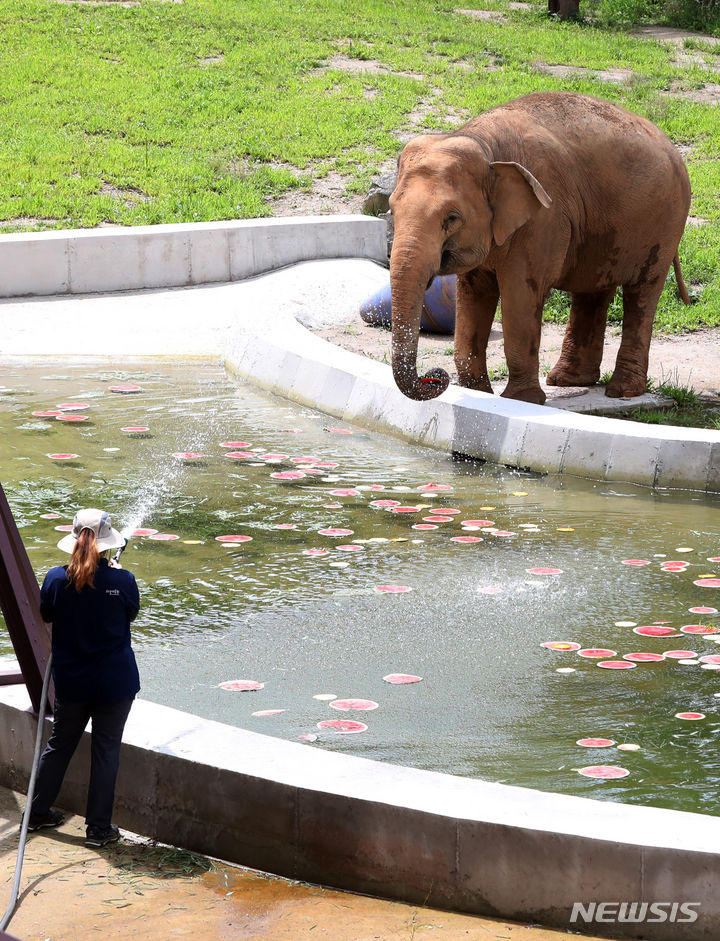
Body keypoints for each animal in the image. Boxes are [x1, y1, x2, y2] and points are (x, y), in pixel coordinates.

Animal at [388, 89, 692, 408]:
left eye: (451, 218)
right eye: (392, 209)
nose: (435, 377)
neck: (484, 144)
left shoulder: (544, 218)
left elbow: (520, 296)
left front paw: (522, 400)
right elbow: (473, 295)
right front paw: (480, 394)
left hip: (666, 224)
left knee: (642, 293)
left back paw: (622, 391)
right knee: (593, 292)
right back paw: (569, 381)